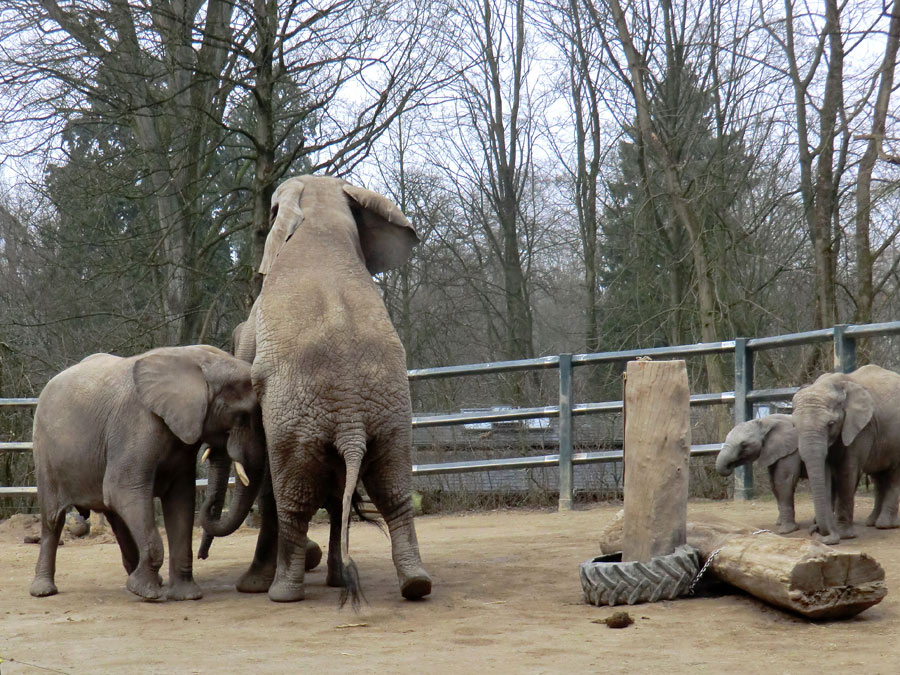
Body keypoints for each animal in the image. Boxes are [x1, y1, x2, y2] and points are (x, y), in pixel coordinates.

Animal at [29, 346, 268, 600]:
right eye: (243, 416)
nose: (204, 556)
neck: (193, 358)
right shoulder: (136, 424)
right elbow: (122, 490)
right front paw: (147, 594)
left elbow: (180, 500)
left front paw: (185, 595)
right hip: (44, 450)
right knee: (53, 519)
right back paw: (43, 591)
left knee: (117, 520)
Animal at [244, 174, 430, 608]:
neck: (320, 210)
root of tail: (350, 421)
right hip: (390, 419)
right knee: (395, 492)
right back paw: (415, 585)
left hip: (295, 427)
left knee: (293, 500)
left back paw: (282, 594)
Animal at [792, 364, 900, 544]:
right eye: (794, 426)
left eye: (831, 424)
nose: (815, 531)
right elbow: (829, 474)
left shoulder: (861, 428)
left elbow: (846, 472)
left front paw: (844, 535)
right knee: (878, 477)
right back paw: (871, 522)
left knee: (893, 475)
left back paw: (885, 525)